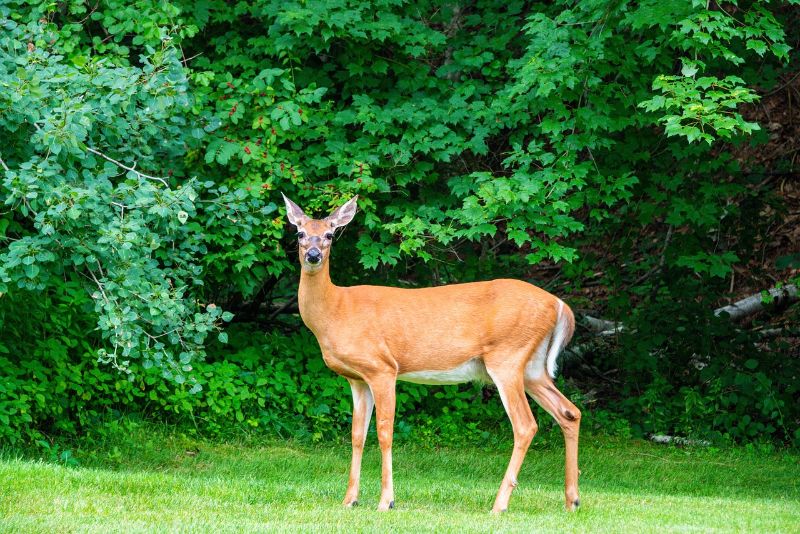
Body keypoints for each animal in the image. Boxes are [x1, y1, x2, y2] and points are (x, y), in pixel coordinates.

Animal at [282, 194, 580, 516]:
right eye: (299, 233)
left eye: (329, 234)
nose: (313, 255)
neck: (335, 311)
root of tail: (559, 305)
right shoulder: (357, 379)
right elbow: (356, 435)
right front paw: (350, 499)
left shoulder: (382, 367)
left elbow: (384, 432)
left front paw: (387, 500)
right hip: (533, 368)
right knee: (569, 412)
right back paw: (572, 500)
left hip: (508, 357)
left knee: (525, 425)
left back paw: (499, 505)